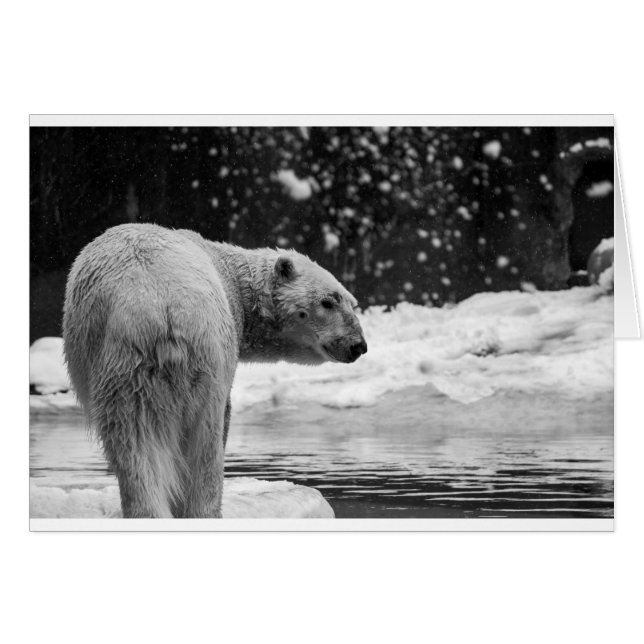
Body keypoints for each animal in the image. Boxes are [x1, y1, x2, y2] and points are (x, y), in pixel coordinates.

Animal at [63, 223, 367, 518]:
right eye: (328, 301)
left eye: (352, 303)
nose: (358, 345)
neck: (232, 276)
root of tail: (166, 311)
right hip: (180, 359)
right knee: (199, 438)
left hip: (148, 368)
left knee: (137, 439)